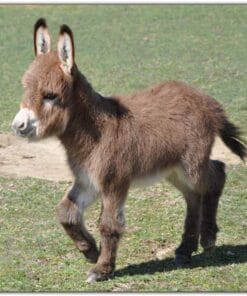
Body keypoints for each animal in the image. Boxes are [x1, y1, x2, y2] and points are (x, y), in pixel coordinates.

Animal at [12, 18, 246, 282]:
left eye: (50, 96)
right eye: (25, 88)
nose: (18, 126)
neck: (96, 132)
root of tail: (205, 99)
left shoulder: (114, 182)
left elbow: (109, 224)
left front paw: (102, 269)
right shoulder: (88, 180)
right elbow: (66, 212)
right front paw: (91, 251)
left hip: (191, 165)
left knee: (217, 175)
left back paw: (208, 238)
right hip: (173, 170)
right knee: (194, 195)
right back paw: (185, 250)